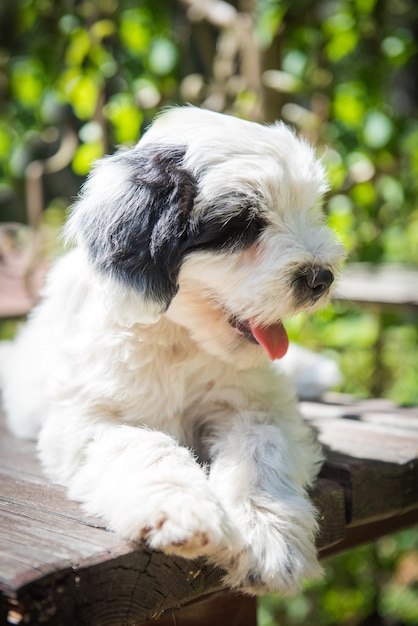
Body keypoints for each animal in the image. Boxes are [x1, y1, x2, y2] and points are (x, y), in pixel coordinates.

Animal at [1, 108, 344, 596]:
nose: (321, 277)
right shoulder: (84, 419)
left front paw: (269, 536)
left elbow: (261, 447)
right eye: (243, 224)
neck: (181, 338)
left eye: (309, 208)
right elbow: (143, 444)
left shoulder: (259, 405)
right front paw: (182, 510)